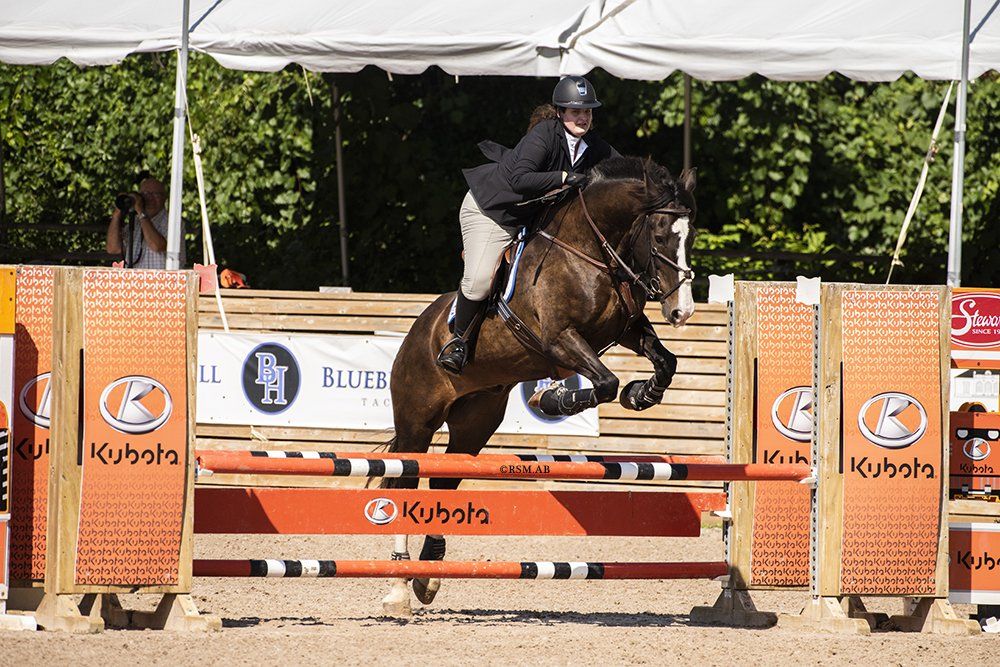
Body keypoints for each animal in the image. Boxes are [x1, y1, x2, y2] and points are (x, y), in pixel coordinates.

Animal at [379, 156, 697, 615]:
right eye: (658, 236)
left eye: (692, 236)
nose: (681, 311)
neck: (589, 252)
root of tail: (415, 333)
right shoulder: (559, 339)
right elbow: (604, 382)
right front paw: (554, 399)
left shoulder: (626, 330)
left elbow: (664, 362)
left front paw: (641, 395)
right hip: (416, 424)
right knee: (403, 481)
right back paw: (398, 586)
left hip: (474, 423)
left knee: (444, 480)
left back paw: (427, 575)